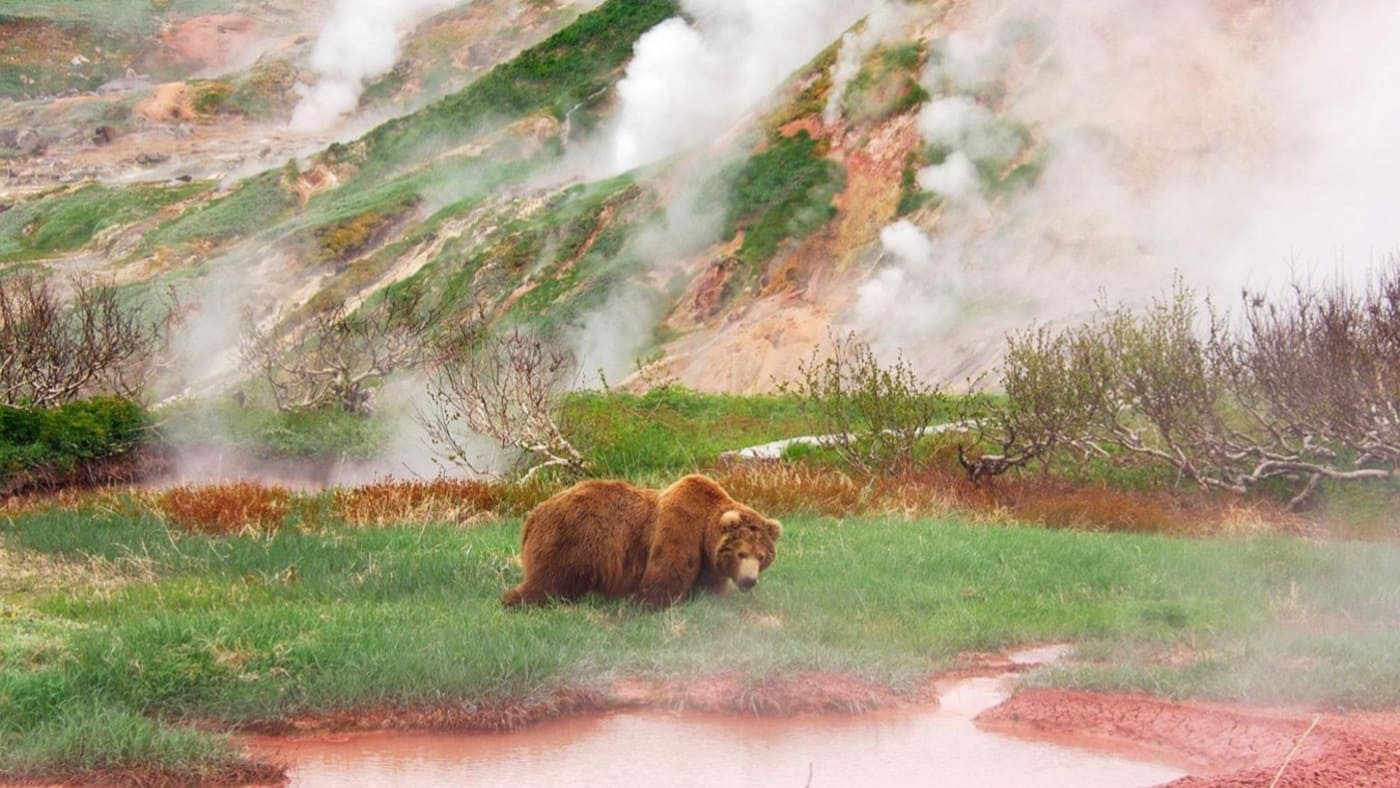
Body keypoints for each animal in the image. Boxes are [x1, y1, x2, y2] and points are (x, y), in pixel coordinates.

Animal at [504, 475, 784, 610]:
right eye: (741, 553)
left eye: (761, 556)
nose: (749, 580)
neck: (704, 528)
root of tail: (534, 513)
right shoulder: (679, 528)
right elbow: (666, 574)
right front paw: (641, 604)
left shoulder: (707, 559)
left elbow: (710, 585)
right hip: (570, 543)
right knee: (547, 581)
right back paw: (514, 600)